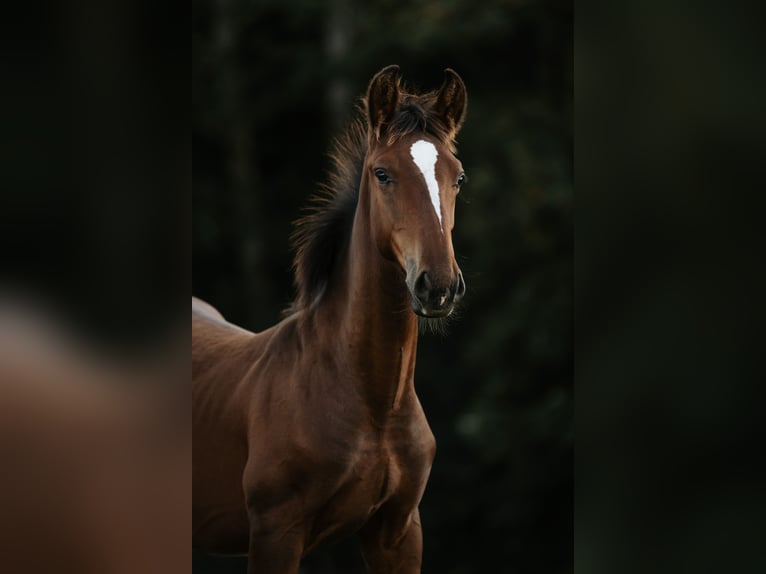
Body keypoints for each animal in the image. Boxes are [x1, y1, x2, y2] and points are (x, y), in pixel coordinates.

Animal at [192, 64, 468, 573]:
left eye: (457, 177)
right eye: (382, 174)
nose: (438, 285)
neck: (374, 406)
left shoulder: (398, 533)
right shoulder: (276, 534)